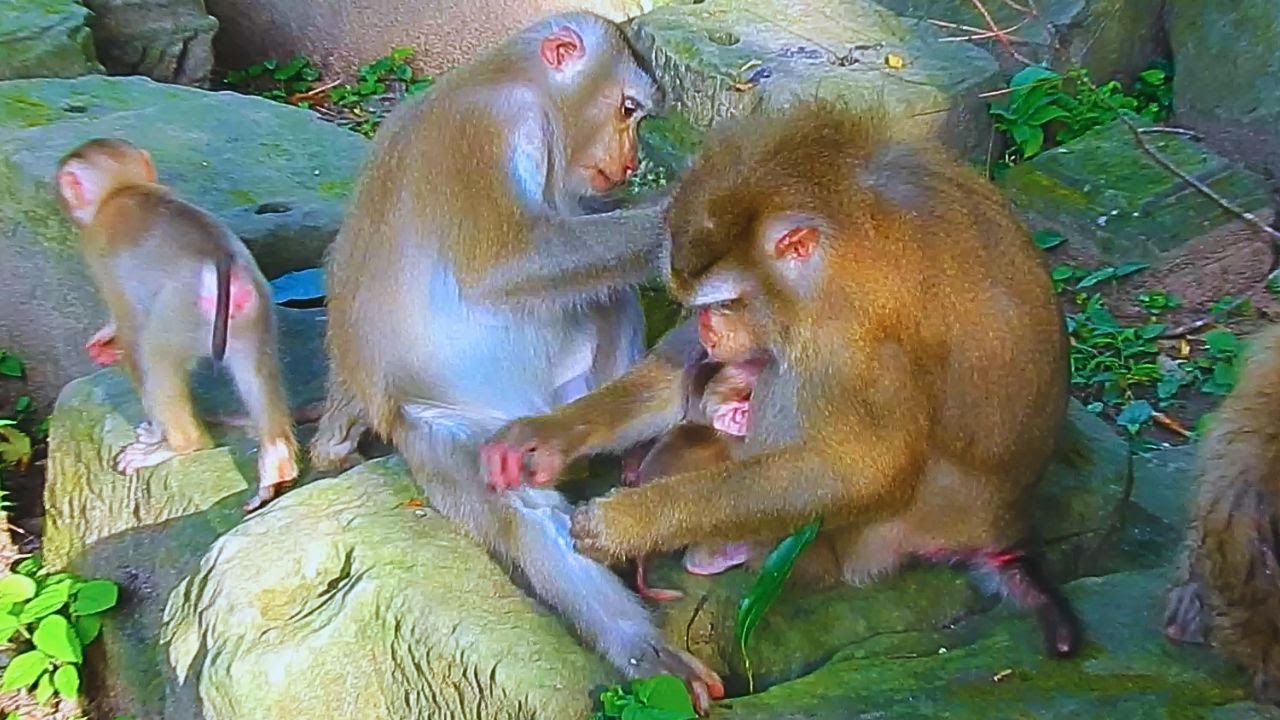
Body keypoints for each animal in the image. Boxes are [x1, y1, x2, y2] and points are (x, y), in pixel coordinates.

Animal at [54, 138, 299, 514]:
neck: (123, 188)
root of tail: (221, 261)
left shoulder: (97, 250)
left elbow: (131, 332)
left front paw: (155, 431)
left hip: (181, 312)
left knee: (155, 356)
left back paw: (179, 444)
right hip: (254, 311)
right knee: (256, 374)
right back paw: (277, 464)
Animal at [309, 12, 723, 712]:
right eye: (629, 110)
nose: (630, 159)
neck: (506, 76)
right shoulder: (495, 125)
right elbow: (513, 261)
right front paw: (685, 212)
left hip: (565, 393)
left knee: (604, 295)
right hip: (447, 432)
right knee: (523, 512)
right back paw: (640, 647)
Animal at [482, 100, 1085, 660]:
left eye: (725, 303)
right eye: (700, 304)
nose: (708, 327)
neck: (838, 238)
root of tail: (1003, 531)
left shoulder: (847, 335)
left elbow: (860, 469)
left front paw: (632, 521)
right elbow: (679, 378)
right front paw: (542, 439)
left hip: (882, 538)